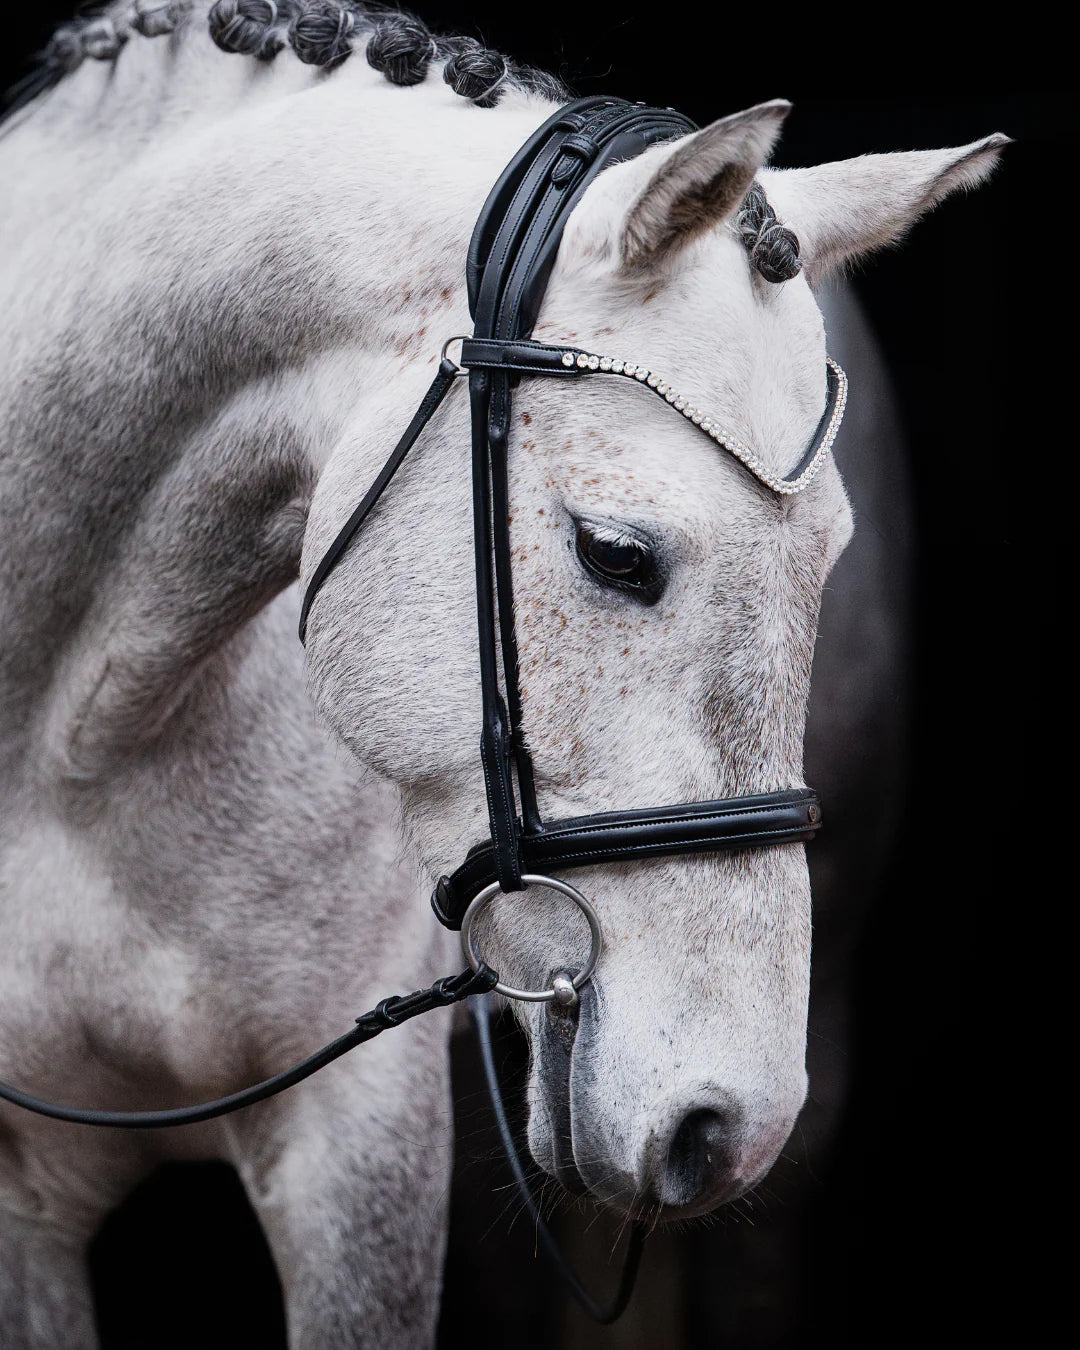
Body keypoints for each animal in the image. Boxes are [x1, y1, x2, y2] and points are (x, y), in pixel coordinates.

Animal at [0, 3, 1007, 1346]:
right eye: (616, 553)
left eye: (828, 563)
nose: (721, 1121)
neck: (66, 752)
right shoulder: (29, 1197)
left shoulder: (357, 1151)